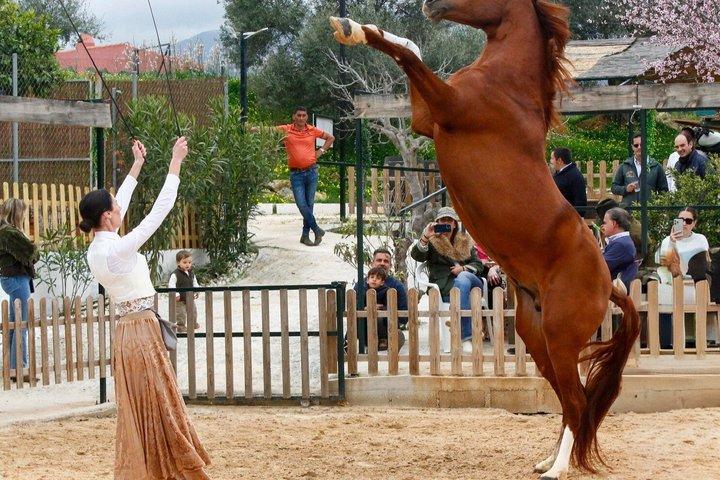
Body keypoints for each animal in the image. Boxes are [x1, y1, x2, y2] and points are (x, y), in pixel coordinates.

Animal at [330, 1, 640, 478]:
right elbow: (410, 51)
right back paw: (546, 459)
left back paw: (558, 468)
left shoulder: (449, 106)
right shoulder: (427, 118)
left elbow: (410, 58)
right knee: (569, 402)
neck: (506, 84)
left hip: (562, 338)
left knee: (577, 400)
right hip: (538, 338)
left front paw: (351, 29)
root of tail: (610, 283)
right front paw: (357, 27)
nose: (430, 6)